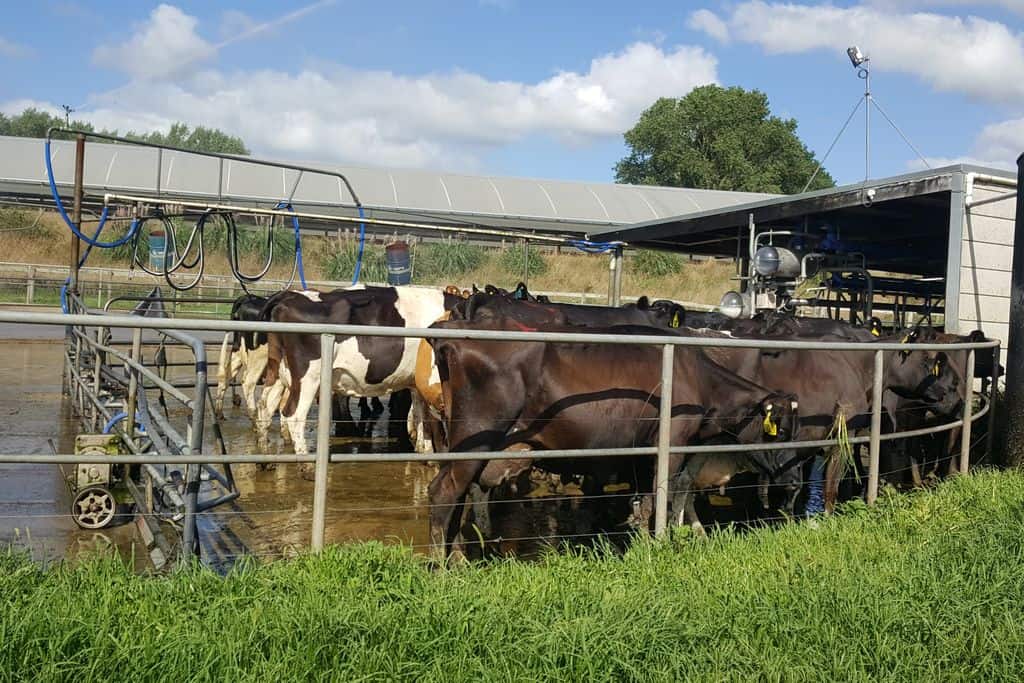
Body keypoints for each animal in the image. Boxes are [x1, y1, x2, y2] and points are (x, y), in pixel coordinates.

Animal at [423, 317, 798, 557]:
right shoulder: (673, 446)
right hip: (476, 437)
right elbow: (664, 498)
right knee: (444, 491)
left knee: (456, 495)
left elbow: (646, 503)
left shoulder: (643, 452)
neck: (698, 378)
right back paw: (443, 568)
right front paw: (662, 545)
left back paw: (457, 560)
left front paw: (644, 546)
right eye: (778, 431)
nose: (795, 480)